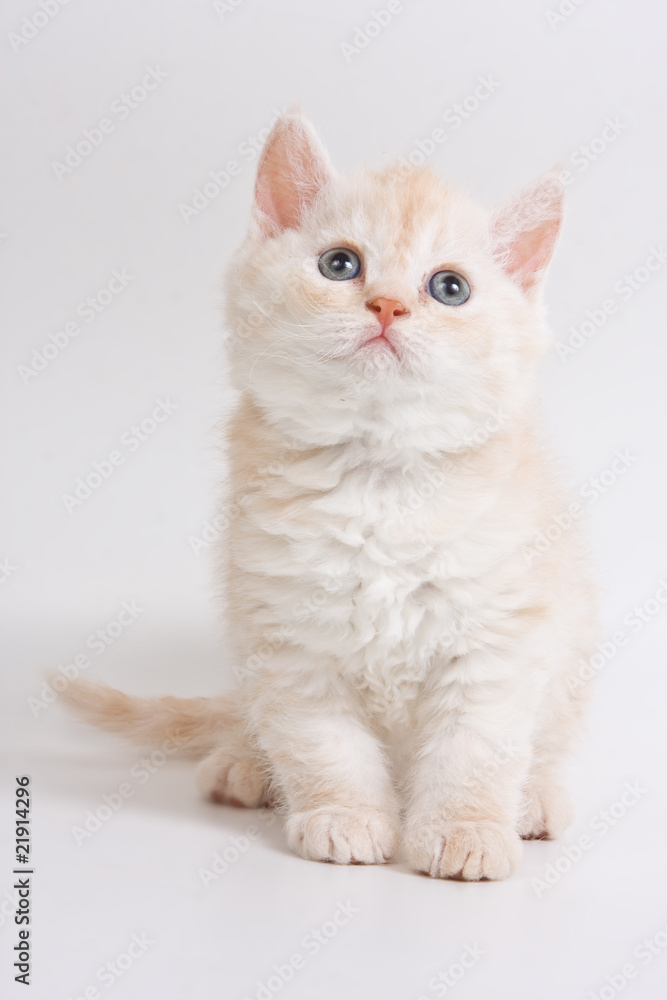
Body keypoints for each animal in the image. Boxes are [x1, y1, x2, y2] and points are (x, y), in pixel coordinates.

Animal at [60, 111, 596, 884]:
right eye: (340, 265)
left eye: (449, 288)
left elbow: (474, 748)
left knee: (543, 744)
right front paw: (343, 818)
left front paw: (465, 829)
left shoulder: (497, 639)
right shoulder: (287, 637)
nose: (388, 305)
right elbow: (324, 745)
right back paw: (244, 768)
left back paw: (534, 799)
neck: (379, 479)